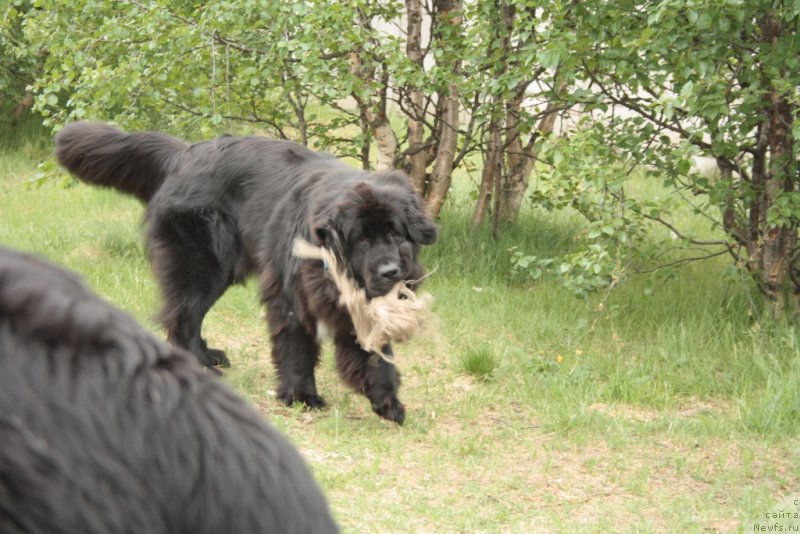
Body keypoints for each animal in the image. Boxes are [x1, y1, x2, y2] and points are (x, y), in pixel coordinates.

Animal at [55, 122, 438, 428]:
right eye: (362, 238)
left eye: (395, 233)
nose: (391, 271)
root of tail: (184, 154)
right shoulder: (288, 295)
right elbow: (296, 347)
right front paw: (301, 395)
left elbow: (376, 352)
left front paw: (387, 400)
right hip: (203, 265)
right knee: (183, 316)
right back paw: (200, 366)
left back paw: (209, 355)